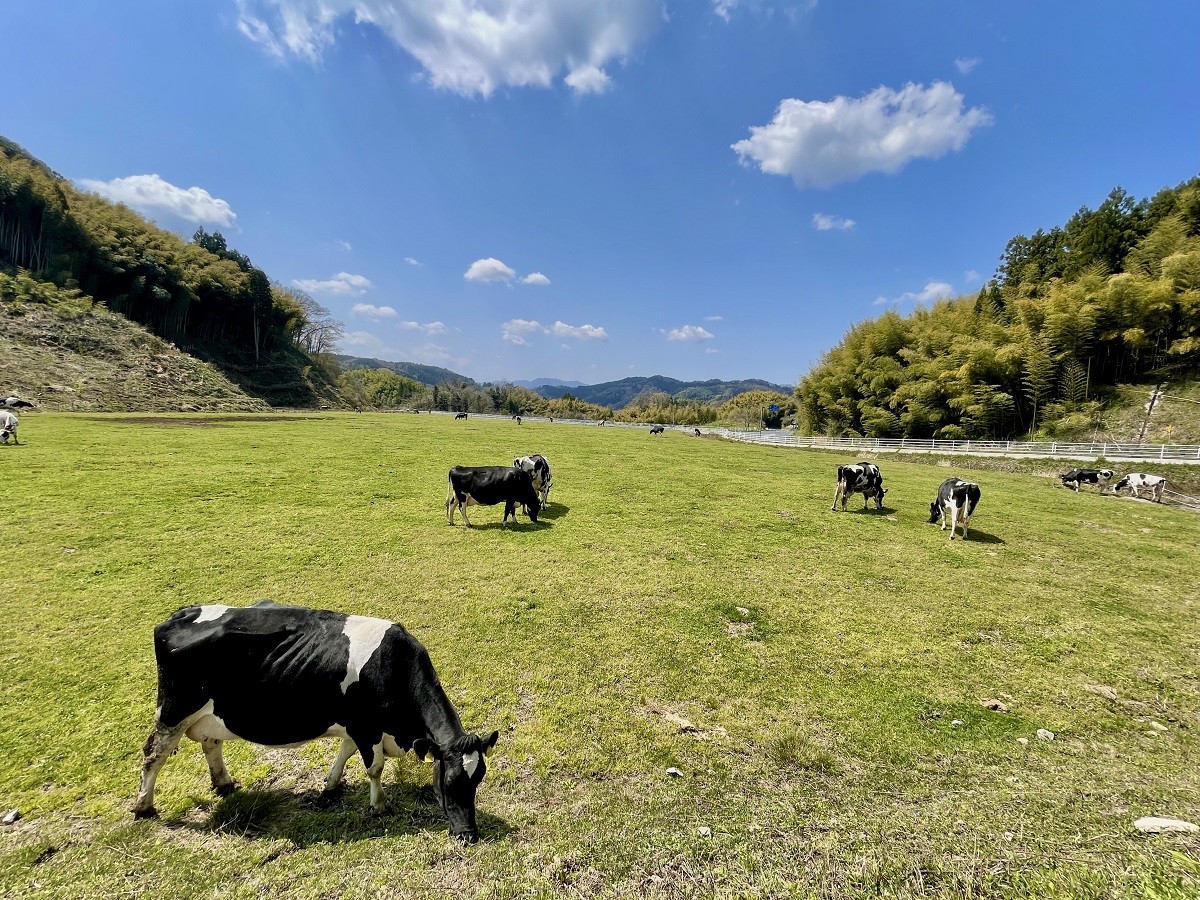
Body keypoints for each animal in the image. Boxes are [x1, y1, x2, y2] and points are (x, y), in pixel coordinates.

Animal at [133, 602, 499, 844]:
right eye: (449, 782)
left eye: (478, 779)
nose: (468, 834)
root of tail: (178, 615)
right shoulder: (366, 727)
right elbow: (375, 767)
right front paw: (378, 805)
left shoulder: (355, 725)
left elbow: (344, 753)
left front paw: (330, 785)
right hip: (174, 710)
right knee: (154, 752)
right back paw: (144, 806)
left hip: (209, 716)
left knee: (211, 743)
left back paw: (224, 783)